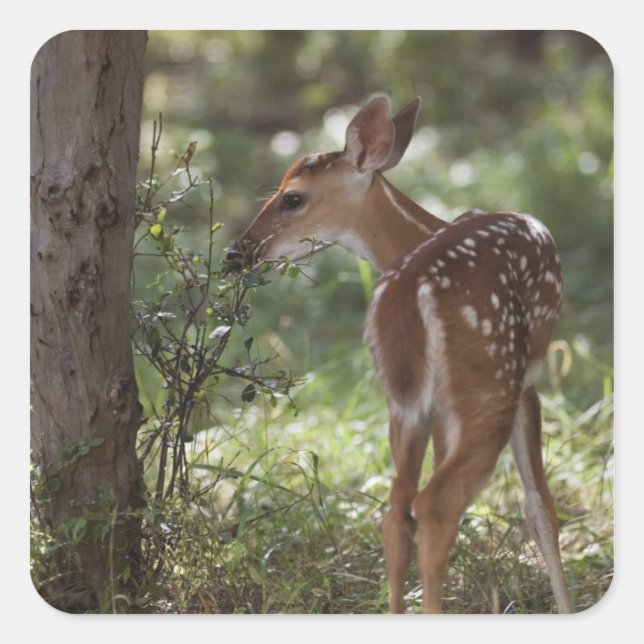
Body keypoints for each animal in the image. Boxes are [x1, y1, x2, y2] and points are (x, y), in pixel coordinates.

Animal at [227, 95, 572, 614]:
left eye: (292, 197)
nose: (236, 253)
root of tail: (413, 295)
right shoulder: (526, 381)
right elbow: (540, 508)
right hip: (487, 381)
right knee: (434, 503)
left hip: (406, 397)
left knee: (399, 508)